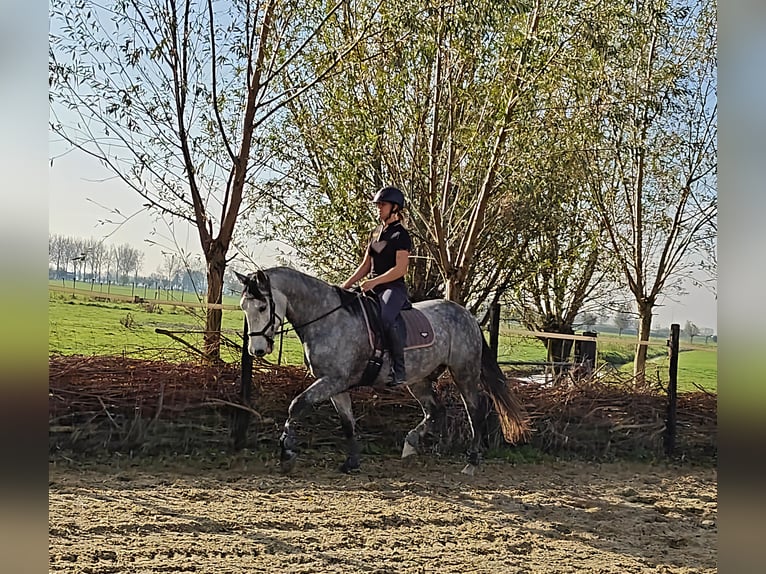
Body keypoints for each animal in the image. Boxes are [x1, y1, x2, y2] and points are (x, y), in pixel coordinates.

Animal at [236, 267, 529, 475]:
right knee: (435, 409)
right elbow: (348, 423)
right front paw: (351, 463)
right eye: (243, 307)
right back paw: (415, 445)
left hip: (464, 371)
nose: (256, 350)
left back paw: (471, 461)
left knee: (475, 410)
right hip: (419, 379)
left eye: (262, 306)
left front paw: (286, 453)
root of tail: (467, 315)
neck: (328, 318)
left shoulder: (333, 380)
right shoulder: (336, 385)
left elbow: (296, 405)